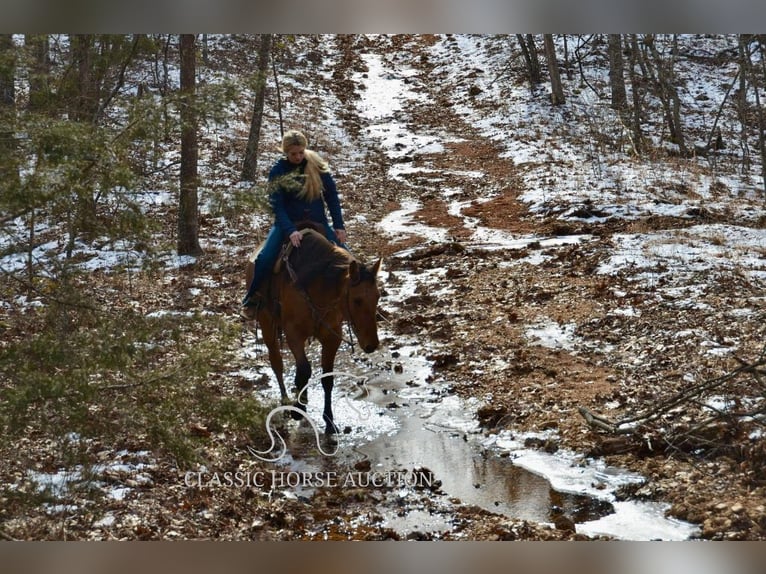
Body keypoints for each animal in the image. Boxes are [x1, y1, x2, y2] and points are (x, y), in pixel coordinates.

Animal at [246, 227, 384, 434]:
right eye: (357, 300)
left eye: (378, 296)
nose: (371, 345)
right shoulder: (293, 334)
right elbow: (304, 370)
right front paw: (298, 409)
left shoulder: (331, 337)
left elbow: (327, 377)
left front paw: (329, 420)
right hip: (266, 323)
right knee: (276, 362)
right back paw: (286, 401)